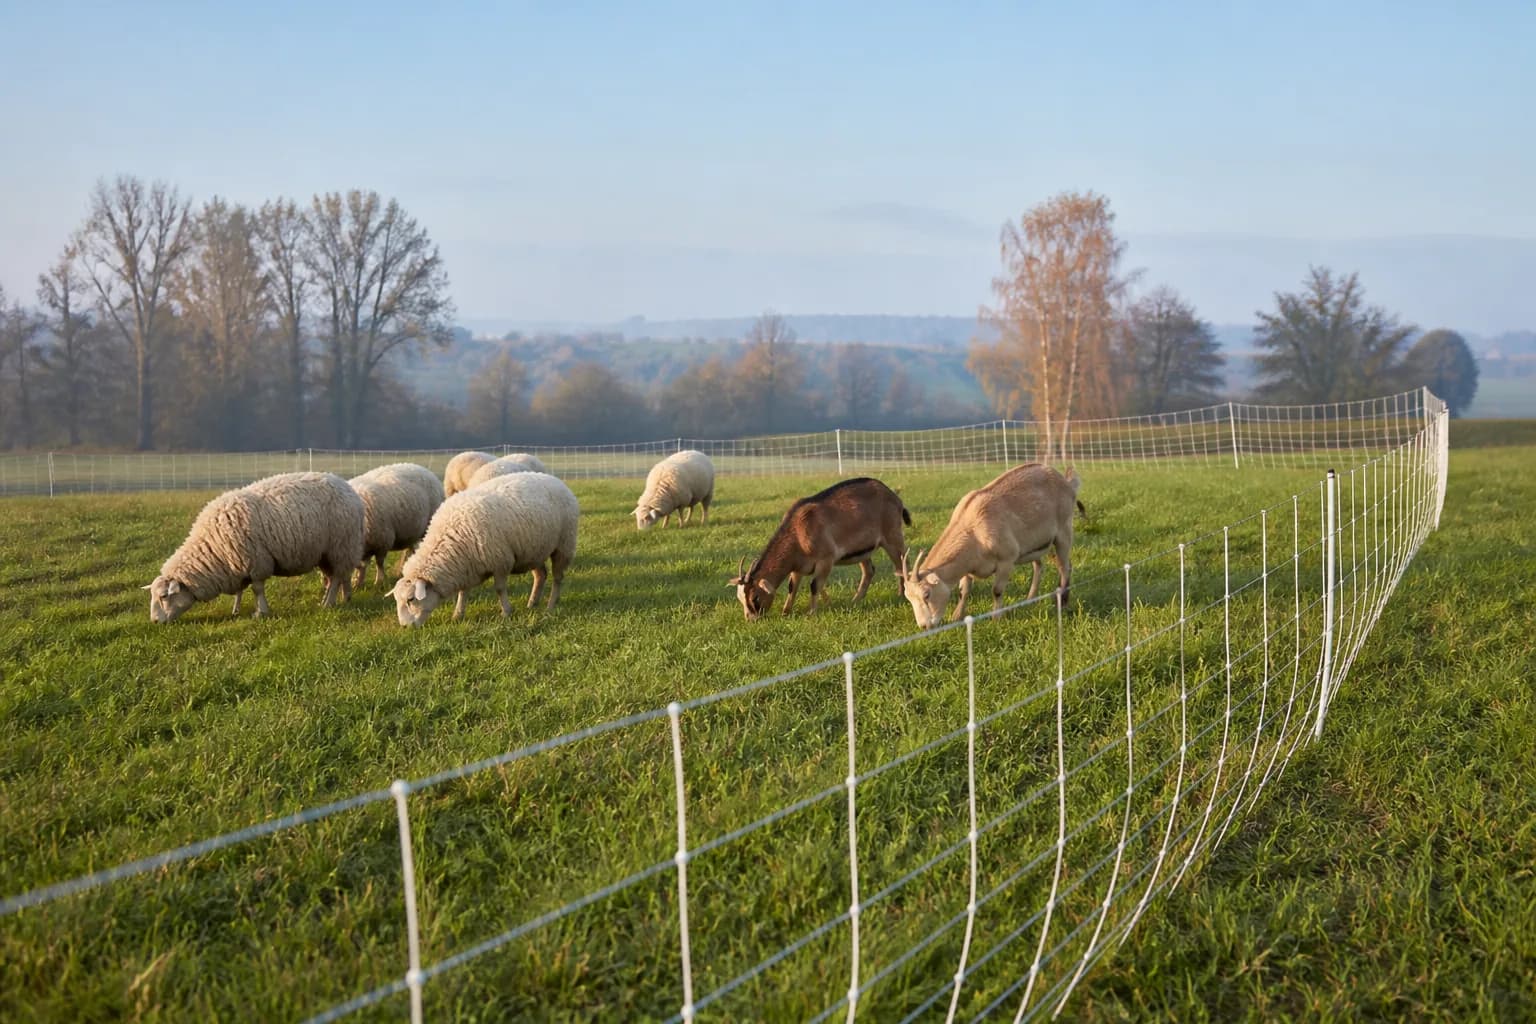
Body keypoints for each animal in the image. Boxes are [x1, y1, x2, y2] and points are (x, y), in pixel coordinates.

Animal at [145, 471, 365, 623]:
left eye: (164, 596)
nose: (155, 622)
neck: (213, 549)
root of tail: (349, 489)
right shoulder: (237, 565)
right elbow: (241, 590)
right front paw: (236, 610)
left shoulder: (256, 561)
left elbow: (257, 589)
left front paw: (261, 612)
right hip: (328, 552)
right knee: (339, 575)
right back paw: (345, 598)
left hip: (340, 545)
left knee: (336, 577)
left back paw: (328, 603)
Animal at [391, 471, 579, 626]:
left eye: (411, 599)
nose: (405, 627)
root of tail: (555, 479)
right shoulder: (466, 567)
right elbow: (463, 592)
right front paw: (458, 615)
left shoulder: (501, 561)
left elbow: (499, 589)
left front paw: (506, 612)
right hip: (534, 550)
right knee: (541, 575)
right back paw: (532, 603)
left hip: (564, 545)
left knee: (557, 578)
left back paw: (551, 605)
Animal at [728, 477, 910, 620]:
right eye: (740, 598)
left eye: (755, 598)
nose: (751, 619)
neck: (798, 532)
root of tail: (894, 497)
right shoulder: (798, 567)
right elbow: (792, 587)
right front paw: (786, 612)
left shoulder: (826, 559)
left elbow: (815, 585)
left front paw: (812, 613)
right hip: (862, 550)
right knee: (869, 571)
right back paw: (855, 601)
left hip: (892, 536)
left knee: (901, 564)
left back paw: (901, 595)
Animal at [901, 463, 1081, 629]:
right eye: (908, 597)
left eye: (926, 594)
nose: (924, 626)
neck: (973, 531)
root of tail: (1066, 482)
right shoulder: (968, 566)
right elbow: (963, 591)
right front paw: (956, 616)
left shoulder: (1006, 559)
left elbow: (997, 590)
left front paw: (996, 619)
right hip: (1035, 544)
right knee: (1039, 565)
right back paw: (1030, 599)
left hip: (1064, 530)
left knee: (1065, 566)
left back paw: (1063, 603)